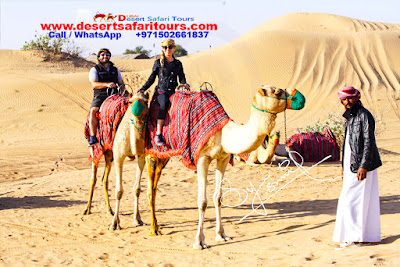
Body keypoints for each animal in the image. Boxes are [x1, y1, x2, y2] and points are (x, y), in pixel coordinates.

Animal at [108, 85, 304, 250]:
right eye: (277, 92)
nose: (300, 98)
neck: (224, 133)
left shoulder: (223, 158)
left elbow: (218, 198)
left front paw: (221, 235)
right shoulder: (202, 158)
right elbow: (202, 201)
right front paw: (200, 241)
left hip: (151, 156)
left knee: (143, 187)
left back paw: (142, 222)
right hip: (120, 149)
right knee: (121, 186)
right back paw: (117, 223)